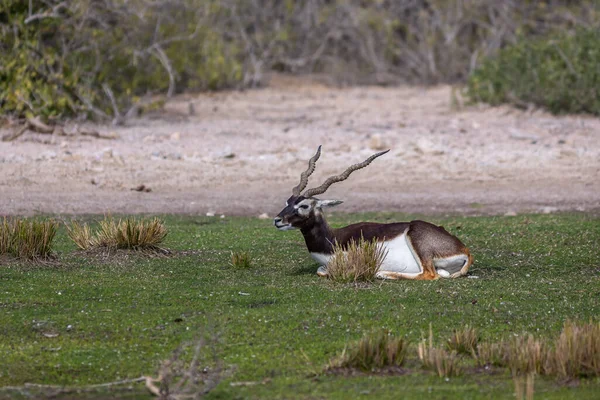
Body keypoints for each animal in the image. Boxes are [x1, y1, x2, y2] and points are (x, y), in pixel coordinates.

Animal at [274, 145, 474, 280]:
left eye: (304, 205)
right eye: (288, 202)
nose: (277, 220)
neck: (332, 240)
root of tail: (464, 249)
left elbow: (326, 271)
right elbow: (321, 270)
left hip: (417, 239)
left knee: (430, 275)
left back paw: (382, 273)